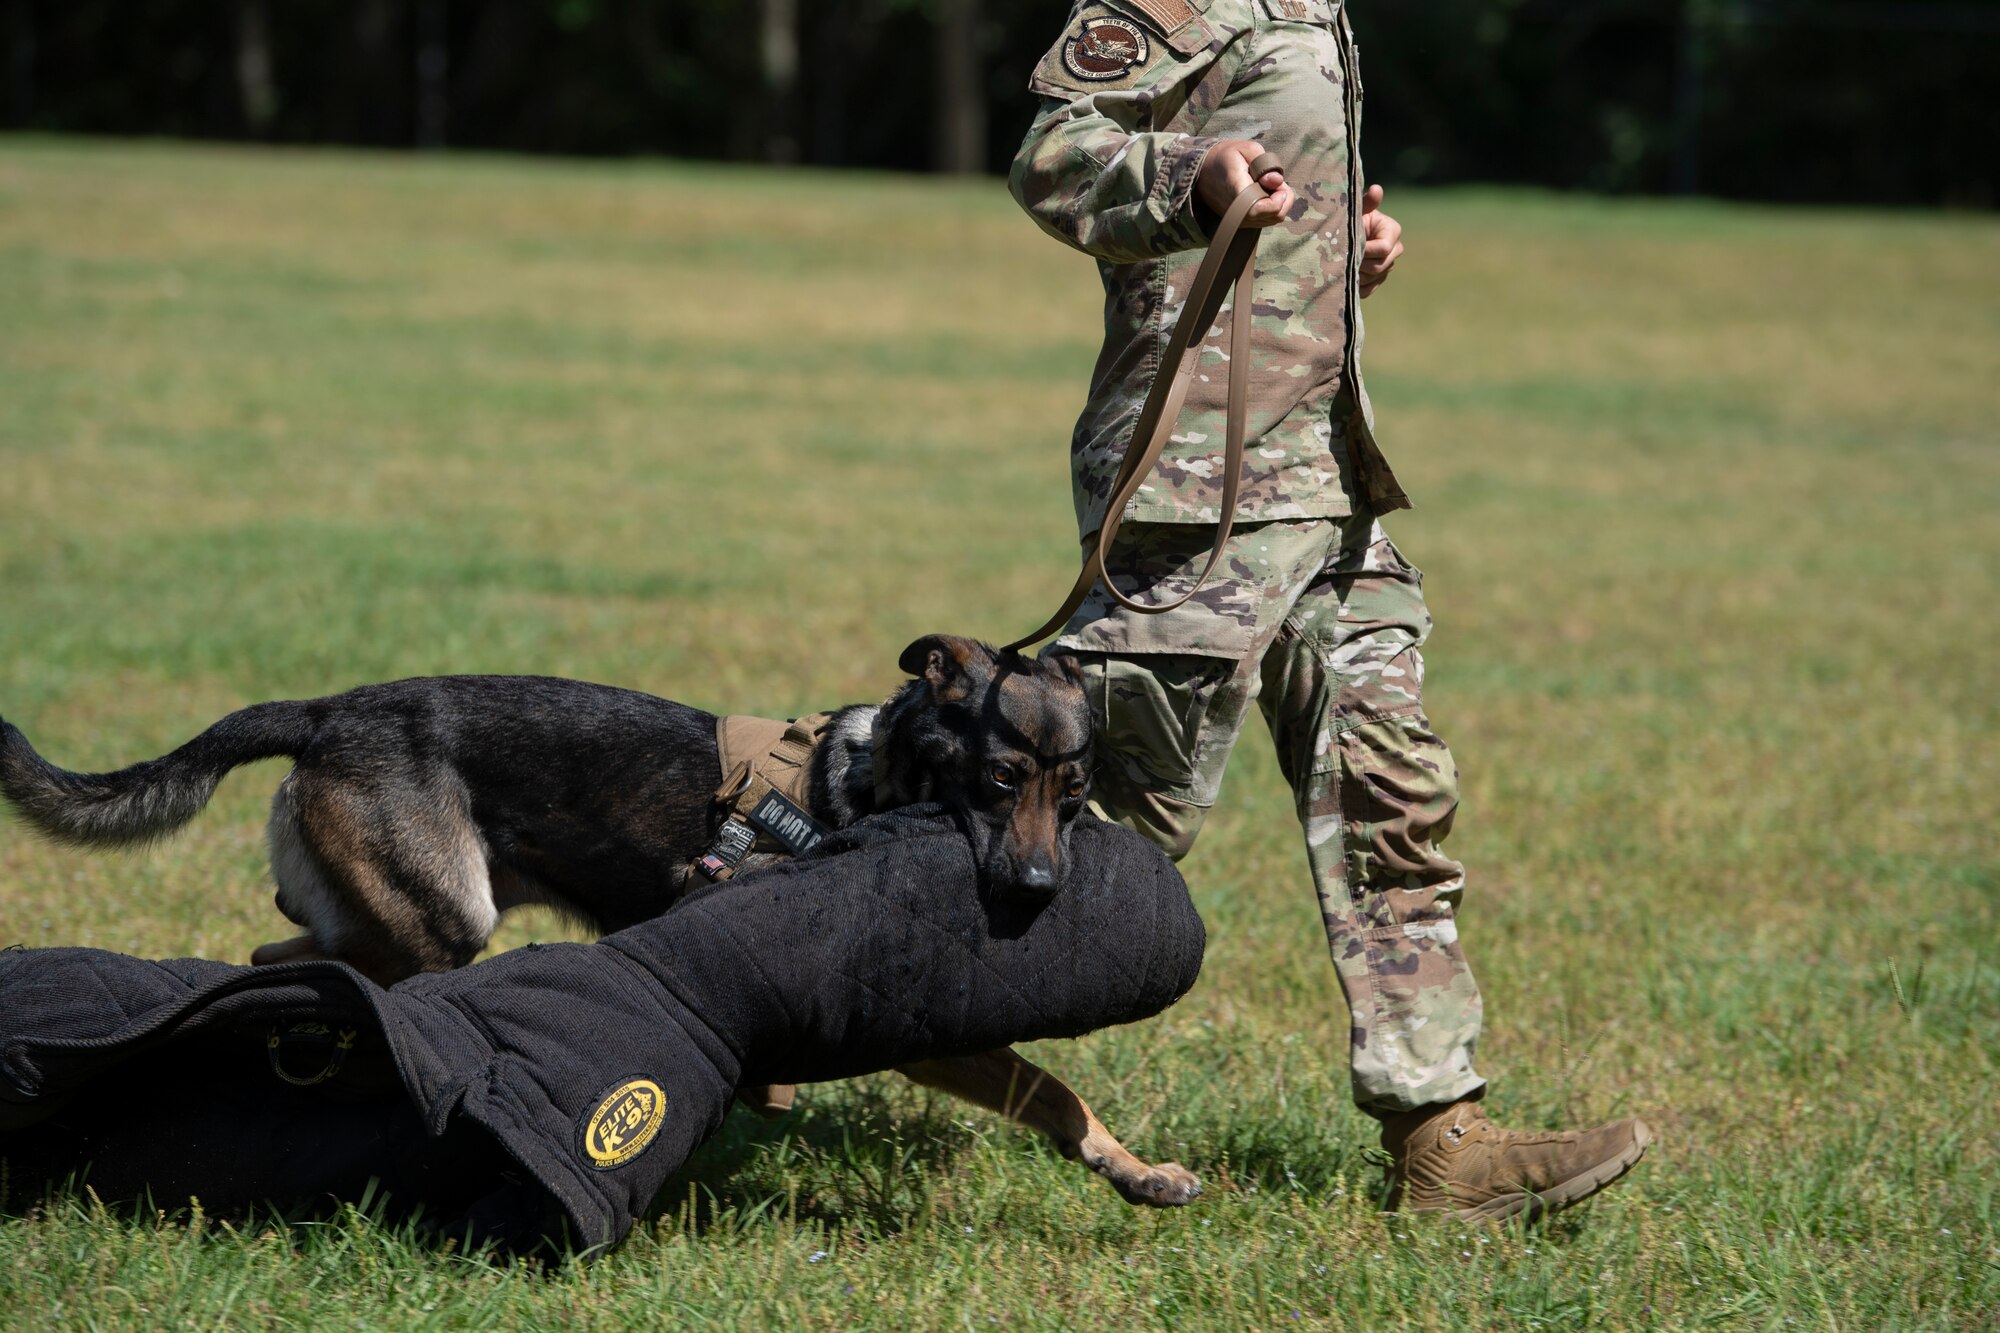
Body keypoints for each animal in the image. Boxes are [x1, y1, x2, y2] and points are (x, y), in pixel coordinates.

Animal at [0, 632, 1192, 1200]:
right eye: (999, 782)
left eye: (1073, 792)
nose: (1037, 892)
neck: (878, 775)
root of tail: (326, 712)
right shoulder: (917, 1033)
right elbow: (1044, 1081)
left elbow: (1054, 1096)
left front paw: (1136, 1172)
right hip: (445, 917)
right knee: (316, 967)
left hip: (398, 917)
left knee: (279, 948)